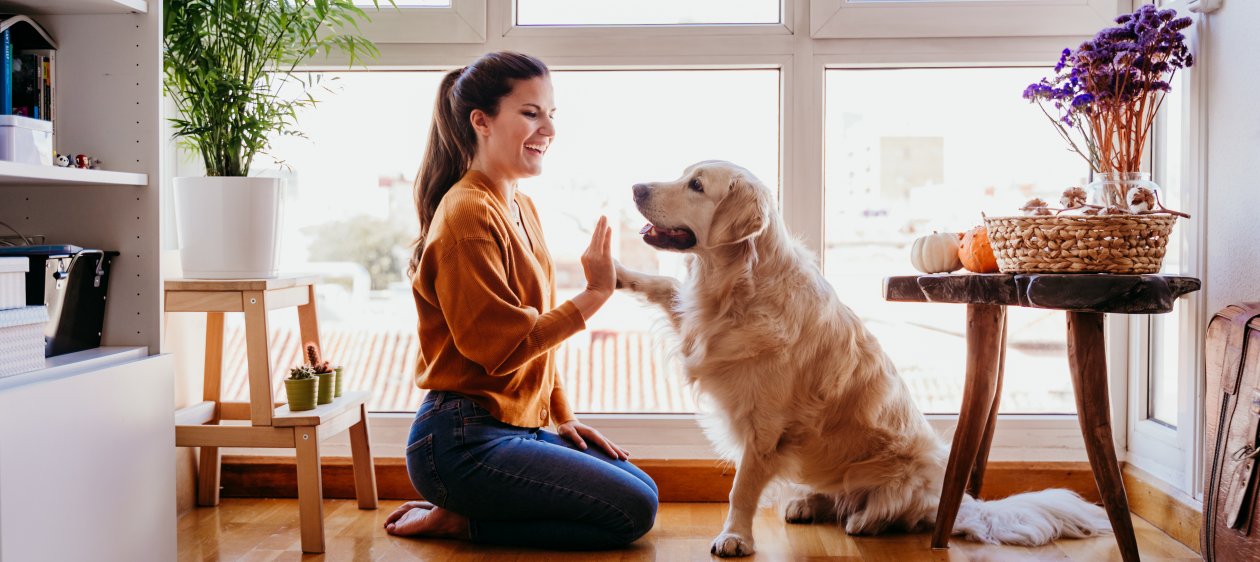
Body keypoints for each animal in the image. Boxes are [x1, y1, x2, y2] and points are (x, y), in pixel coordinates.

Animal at [614, 160, 1108, 554]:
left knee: (893, 510)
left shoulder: (765, 426)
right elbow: (664, 286)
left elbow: (742, 489)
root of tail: (957, 502)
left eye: (696, 185)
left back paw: (864, 520)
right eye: (683, 175)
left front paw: (735, 537)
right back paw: (808, 503)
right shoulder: (697, 324)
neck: (737, 285)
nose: (635, 187)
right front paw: (616, 272)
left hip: (909, 469)